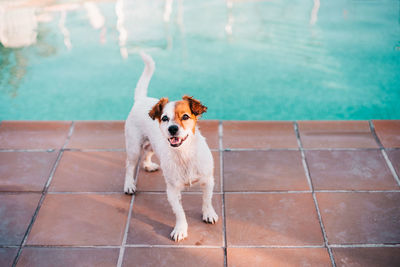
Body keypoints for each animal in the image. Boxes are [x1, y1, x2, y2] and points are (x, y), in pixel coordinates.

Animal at [124, 52, 219, 243]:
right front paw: (180, 229)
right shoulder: (172, 191)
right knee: (130, 165)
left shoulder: (208, 181)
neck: (184, 154)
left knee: (147, 154)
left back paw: (148, 165)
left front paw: (208, 214)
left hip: (152, 144)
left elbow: (207, 200)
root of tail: (141, 99)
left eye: (185, 116)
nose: (172, 129)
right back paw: (129, 184)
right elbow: (180, 212)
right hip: (133, 147)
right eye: (165, 118)